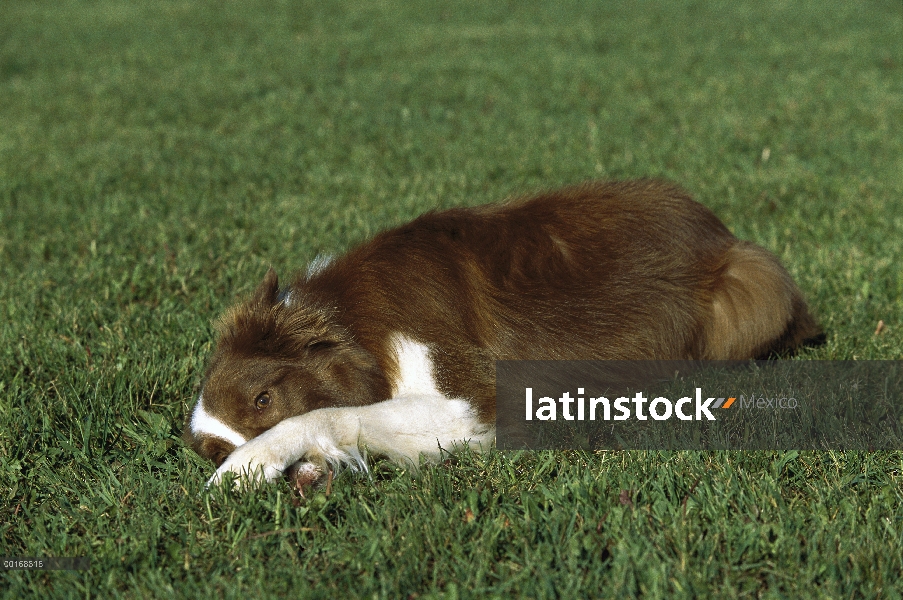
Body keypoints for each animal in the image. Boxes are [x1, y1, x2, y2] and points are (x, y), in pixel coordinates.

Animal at [180, 179, 824, 488]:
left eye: (264, 398)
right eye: (215, 443)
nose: (300, 481)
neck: (354, 321)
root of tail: (715, 225)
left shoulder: (475, 399)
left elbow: (324, 413)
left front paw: (246, 470)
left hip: (751, 287)